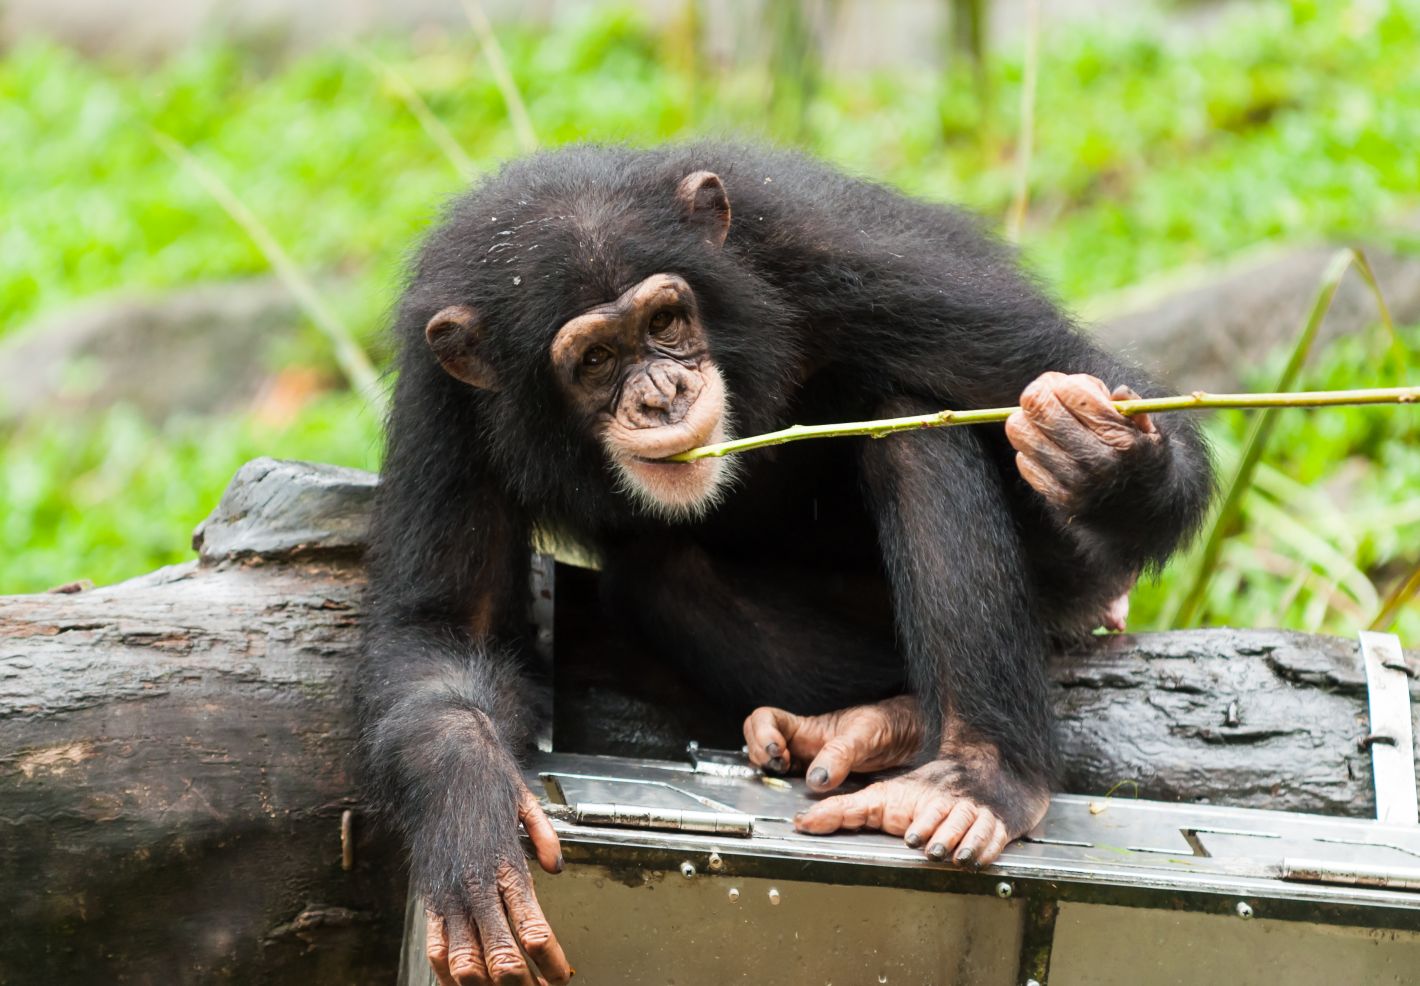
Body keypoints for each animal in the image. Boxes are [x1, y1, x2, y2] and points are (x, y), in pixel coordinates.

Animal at [355, 140, 1209, 986]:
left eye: (665, 320)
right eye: (595, 358)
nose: (662, 393)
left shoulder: (848, 258)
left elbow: (1074, 372)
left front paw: (1102, 451)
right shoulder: (443, 393)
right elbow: (443, 633)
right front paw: (468, 813)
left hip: (1066, 572)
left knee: (913, 429)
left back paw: (978, 774)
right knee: (662, 574)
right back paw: (866, 724)